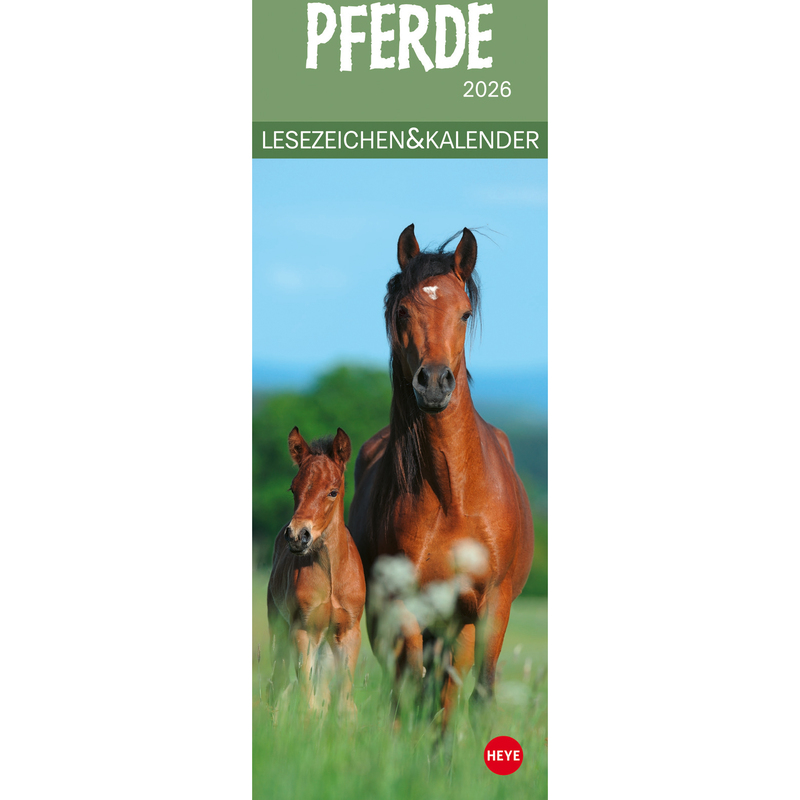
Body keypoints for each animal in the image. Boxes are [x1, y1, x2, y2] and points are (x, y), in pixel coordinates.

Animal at [267, 427, 366, 718]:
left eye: (332, 492)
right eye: (293, 488)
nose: (297, 535)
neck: (332, 577)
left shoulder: (348, 632)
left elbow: (344, 701)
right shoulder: (303, 630)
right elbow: (307, 701)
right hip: (278, 627)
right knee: (278, 681)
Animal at [348, 224, 535, 730]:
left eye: (464, 312)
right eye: (403, 310)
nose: (433, 381)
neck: (453, 494)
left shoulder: (491, 605)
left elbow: (476, 690)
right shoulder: (401, 604)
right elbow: (413, 679)